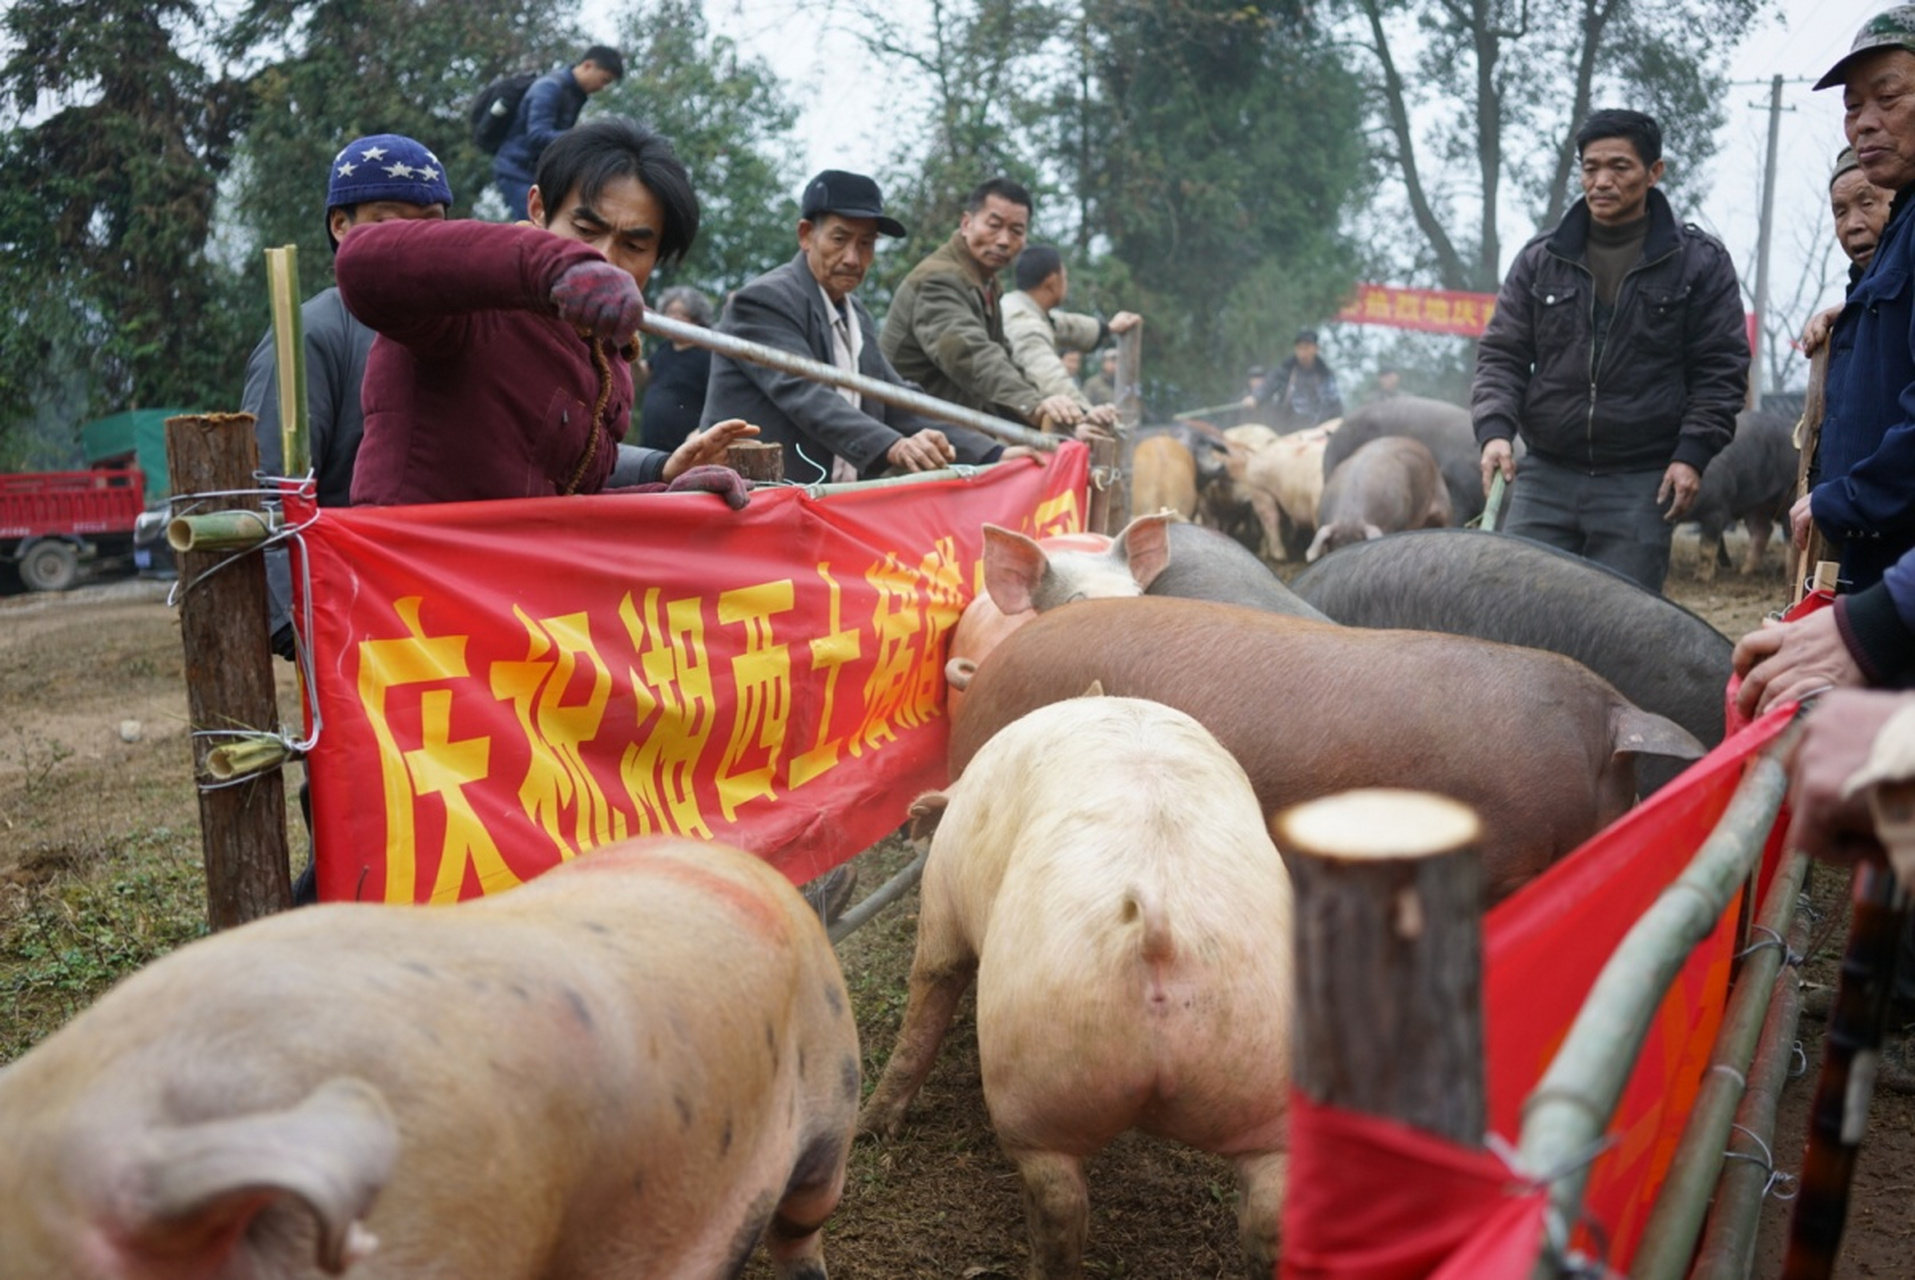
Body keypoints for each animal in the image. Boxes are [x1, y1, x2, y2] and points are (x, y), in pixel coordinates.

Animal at [861, 701, 1294, 1280]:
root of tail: (1160, 935)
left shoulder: (941, 903)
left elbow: (929, 997)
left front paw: (869, 1130)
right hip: (1264, 1083)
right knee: (1268, 1214)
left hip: (1036, 1088)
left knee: (1058, 1202)